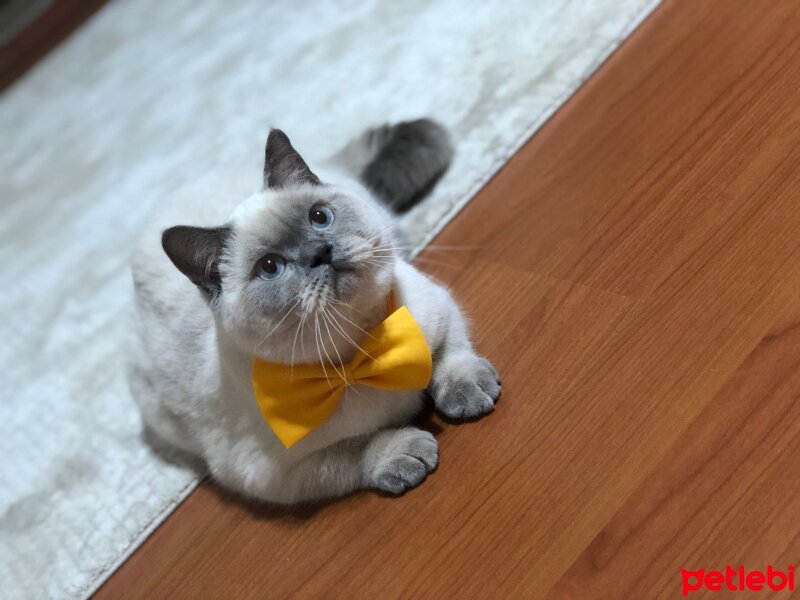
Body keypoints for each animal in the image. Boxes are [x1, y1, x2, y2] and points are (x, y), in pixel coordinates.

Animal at [130, 119, 500, 504]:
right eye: (270, 267)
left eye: (319, 217)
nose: (320, 252)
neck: (362, 355)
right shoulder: (279, 474)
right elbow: (359, 450)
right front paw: (403, 451)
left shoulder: (439, 308)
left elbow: (449, 356)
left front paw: (467, 394)